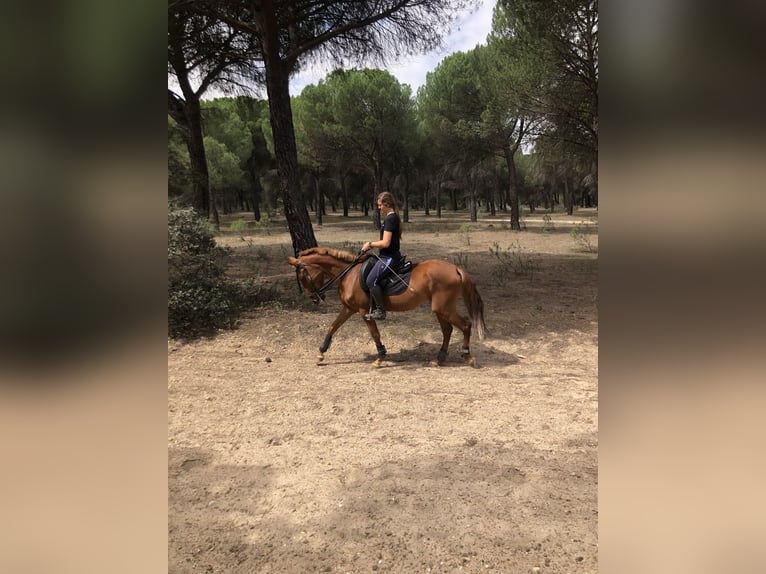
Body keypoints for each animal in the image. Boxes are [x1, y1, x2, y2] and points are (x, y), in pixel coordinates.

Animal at [287, 247, 487, 367]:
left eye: (302, 276)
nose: (314, 298)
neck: (349, 274)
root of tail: (455, 268)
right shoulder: (349, 308)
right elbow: (332, 327)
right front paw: (321, 353)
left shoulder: (363, 311)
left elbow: (375, 333)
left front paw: (380, 357)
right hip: (440, 308)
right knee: (447, 330)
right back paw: (439, 359)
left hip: (444, 308)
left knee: (466, 325)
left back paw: (467, 355)